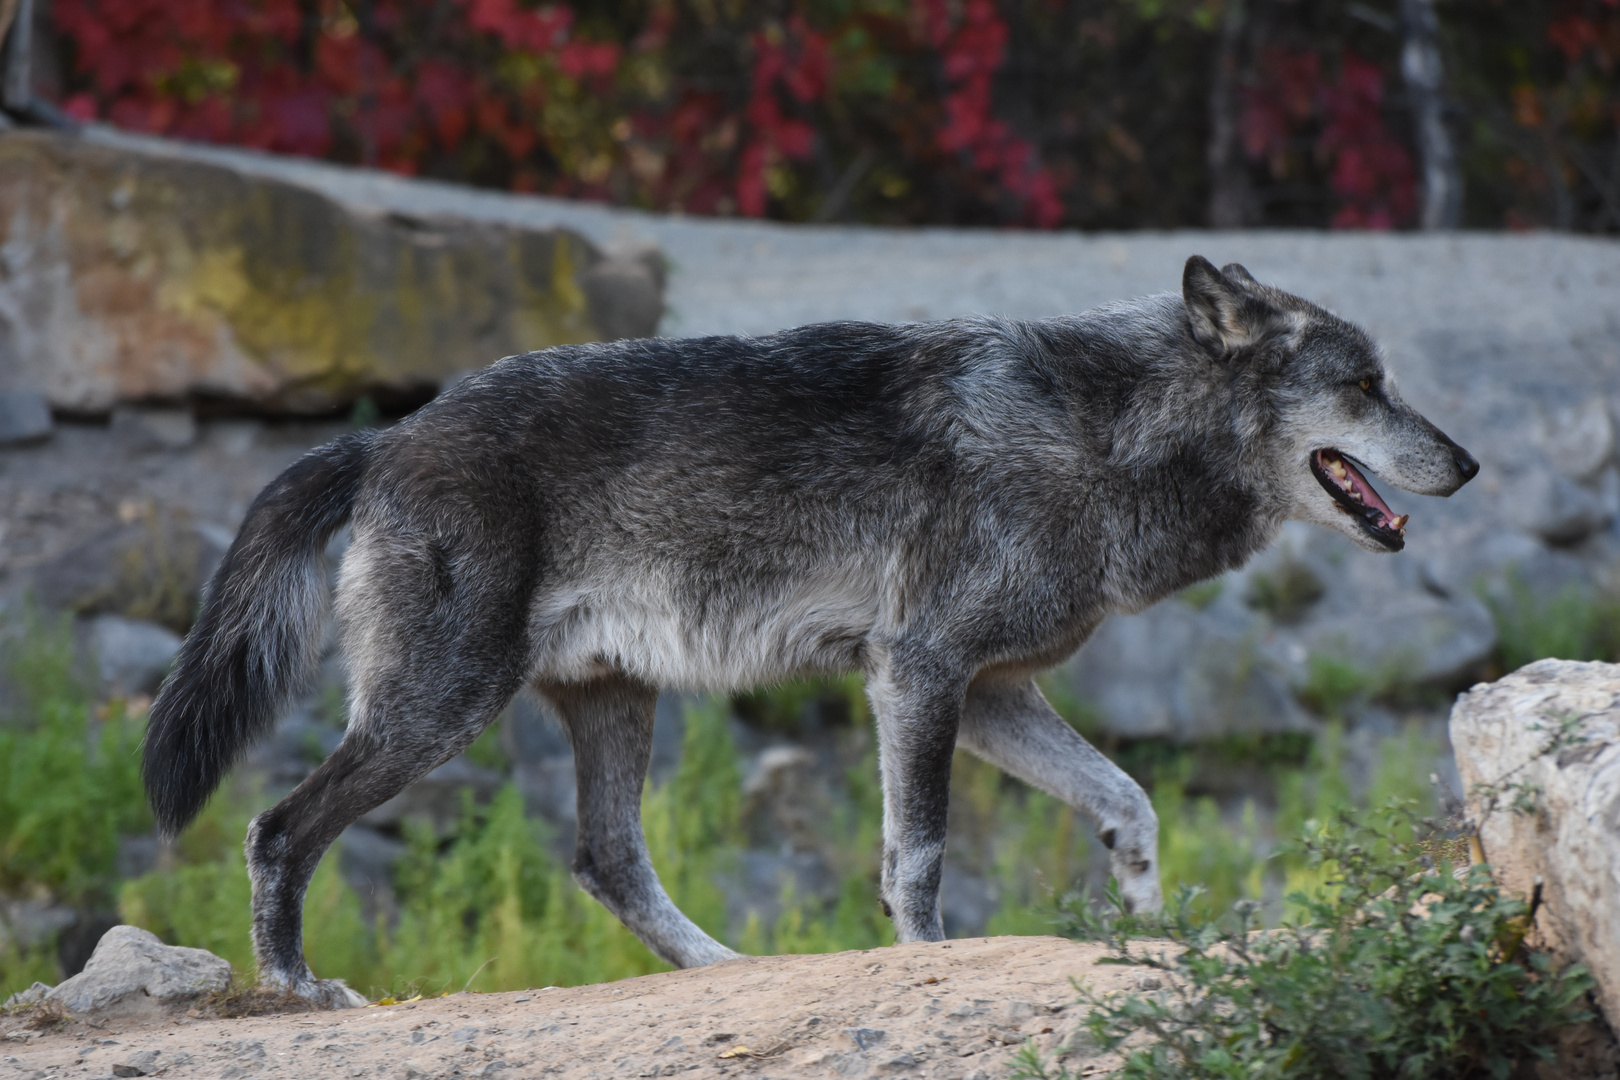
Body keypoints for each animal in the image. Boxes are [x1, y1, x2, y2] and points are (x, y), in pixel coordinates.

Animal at [142, 254, 1483, 1003]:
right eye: (1366, 386)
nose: (1468, 464)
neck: (1103, 434)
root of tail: (384, 438)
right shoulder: (922, 676)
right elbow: (918, 858)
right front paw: (925, 960)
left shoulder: (990, 692)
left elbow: (1131, 802)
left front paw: (1152, 923)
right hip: (440, 711)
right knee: (277, 826)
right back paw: (294, 986)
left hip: (611, 705)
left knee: (607, 859)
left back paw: (730, 973)